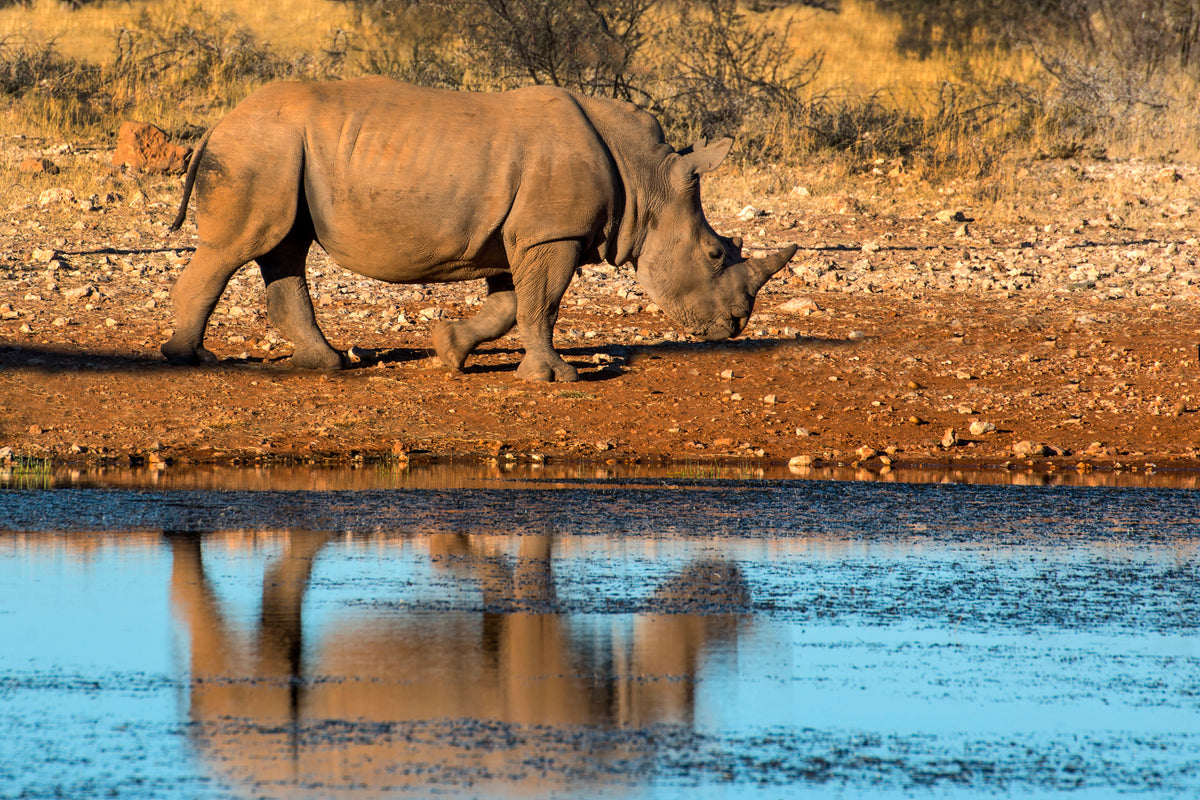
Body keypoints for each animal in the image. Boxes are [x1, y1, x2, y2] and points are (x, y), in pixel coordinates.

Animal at [162, 76, 798, 381]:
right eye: (714, 255)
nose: (735, 326)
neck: (646, 179)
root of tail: (221, 119)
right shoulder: (551, 234)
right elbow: (542, 305)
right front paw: (555, 378)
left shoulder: (524, 234)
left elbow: (511, 305)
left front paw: (448, 351)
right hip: (262, 147)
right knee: (238, 247)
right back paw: (188, 360)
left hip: (280, 151)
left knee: (285, 249)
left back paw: (327, 365)